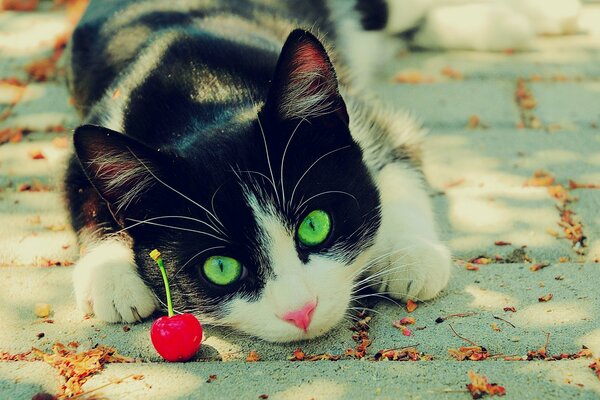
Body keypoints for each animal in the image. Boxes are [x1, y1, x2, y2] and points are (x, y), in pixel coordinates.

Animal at [65, 0, 450, 344]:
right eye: (221, 268)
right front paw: (111, 275)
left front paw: (412, 254)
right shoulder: (99, 124)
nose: (301, 311)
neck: (204, 90)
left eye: (315, 226)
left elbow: (399, 156)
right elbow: (85, 194)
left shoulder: (369, 118)